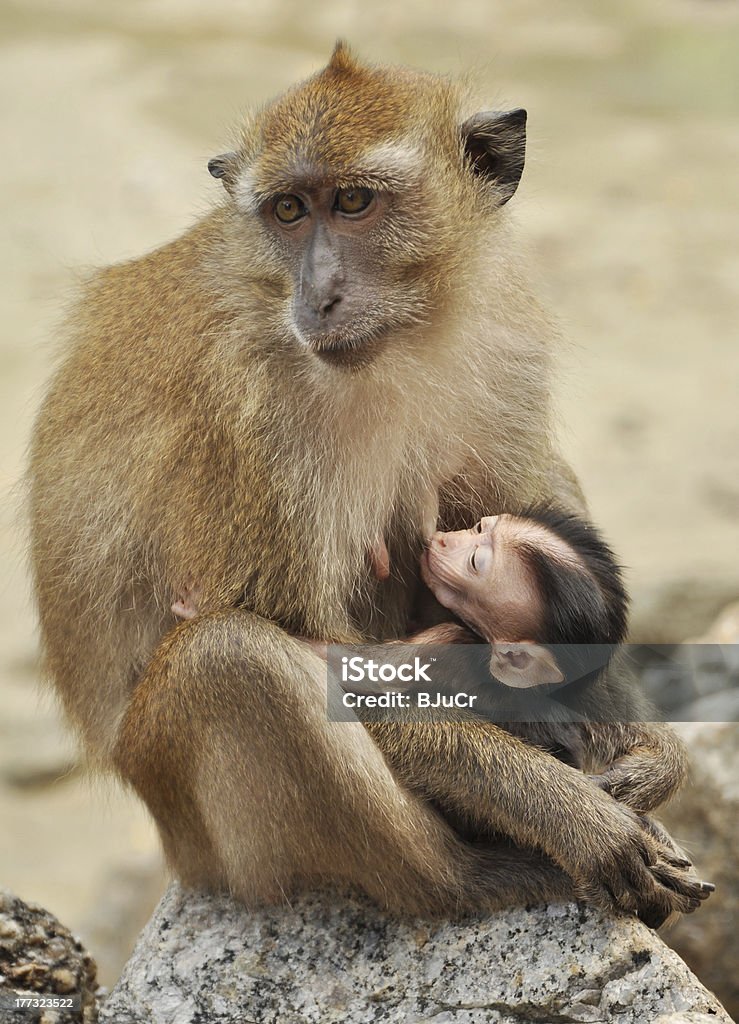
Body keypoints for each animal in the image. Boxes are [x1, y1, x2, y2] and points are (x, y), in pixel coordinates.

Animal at [27, 44, 704, 929]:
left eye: (352, 202)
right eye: (287, 211)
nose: (318, 296)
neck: (403, 343)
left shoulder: (502, 343)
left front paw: (651, 756)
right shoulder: (252, 424)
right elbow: (325, 662)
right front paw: (572, 816)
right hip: (207, 833)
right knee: (233, 659)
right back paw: (469, 876)